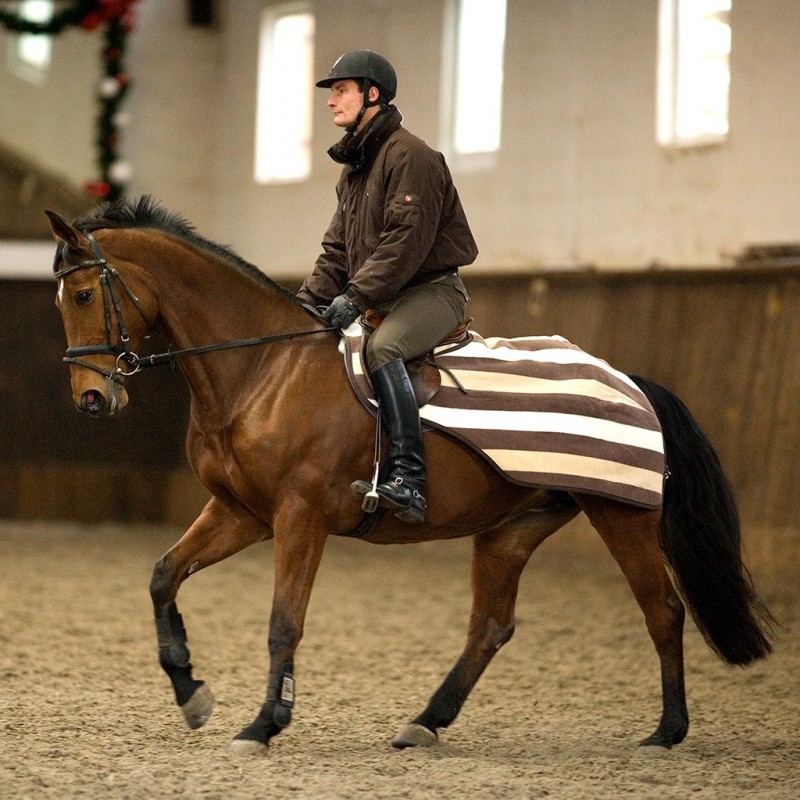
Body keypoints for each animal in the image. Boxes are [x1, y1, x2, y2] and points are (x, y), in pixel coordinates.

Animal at [47, 196, 772, 756]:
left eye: (83, 294)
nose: (92, 399)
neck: (262, 369)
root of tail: (632, 381)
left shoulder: (299, 516)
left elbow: (284, 621)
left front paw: (264, 724)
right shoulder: (240, 512)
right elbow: (163, 576)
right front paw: (193, 696)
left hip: (622, 516)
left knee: (663, 610)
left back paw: (667, 731)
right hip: (512, 529)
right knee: (491, 626)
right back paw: (425, 723)